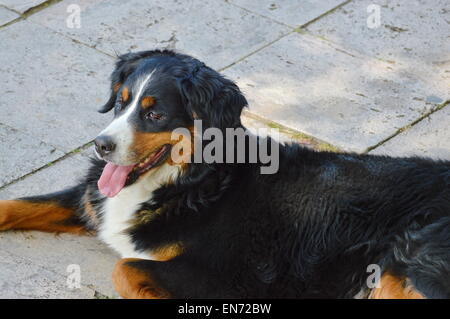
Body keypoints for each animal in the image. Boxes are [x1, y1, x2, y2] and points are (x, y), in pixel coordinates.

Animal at [0, 48, 450, 298]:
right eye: (120, 102)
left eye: (155, 113)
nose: (101, 145)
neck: (194, 182)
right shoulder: (91, 199)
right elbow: (15, 203)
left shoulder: (228, 278)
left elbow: (124, 268)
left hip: (403, 271)